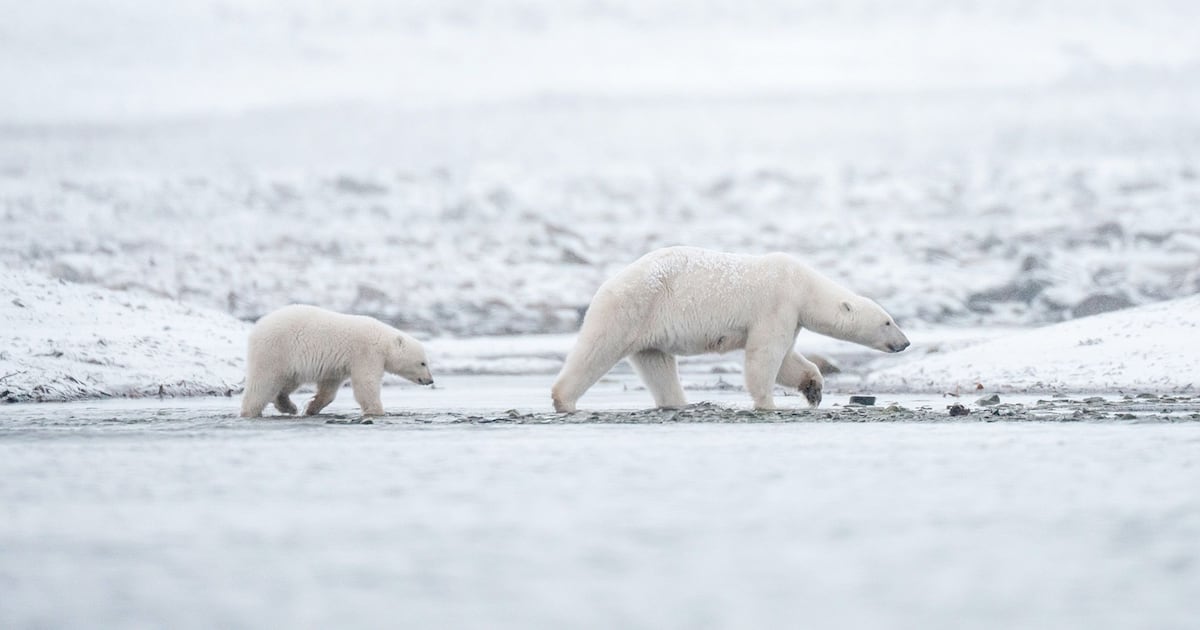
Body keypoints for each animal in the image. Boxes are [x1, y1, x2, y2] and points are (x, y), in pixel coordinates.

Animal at [239, 304, 434, 418]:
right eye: (423, 362)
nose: (430, 380)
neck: (383, 341)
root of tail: (257, 327)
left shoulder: (336, 365)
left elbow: (329, 388)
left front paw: (312, 408)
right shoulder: (366, 354)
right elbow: (366, 383)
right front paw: (377, 411)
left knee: (287, 382)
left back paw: (288, 406)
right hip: (276, 350)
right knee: (263, 383)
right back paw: (250, 412)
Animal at [551, 246, 910, 412]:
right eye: (888, 321)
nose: (904, 342)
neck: (802, 283)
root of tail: (607, 285)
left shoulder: (790, 315)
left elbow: (787, 361)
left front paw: (813, 389)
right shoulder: (776, 305)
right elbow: (765, 356)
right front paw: (767, 402)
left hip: (648, 329)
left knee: (657, 365)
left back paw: (678, 403)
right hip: (632, 308)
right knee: (596, 350)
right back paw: (563, 399)